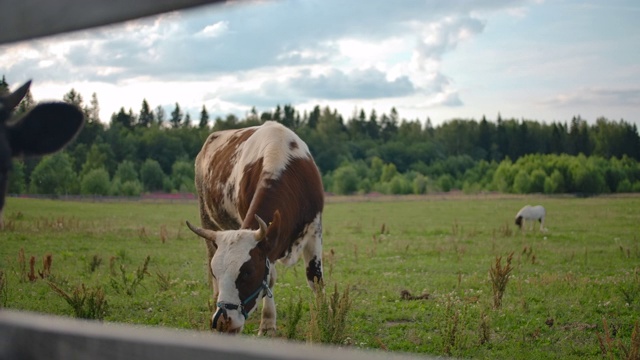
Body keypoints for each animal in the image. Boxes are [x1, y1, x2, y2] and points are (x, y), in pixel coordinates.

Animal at [185, 120, 324, 334]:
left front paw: (324, 319)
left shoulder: (314, 229)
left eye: (247, 272)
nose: (222, 322)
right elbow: (271, 279)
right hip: (206, 217)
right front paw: (267, 323)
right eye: (216, 272)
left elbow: (315, 278)